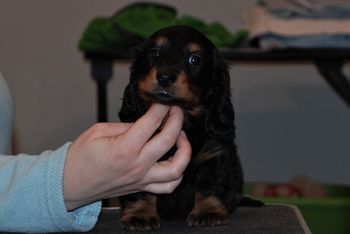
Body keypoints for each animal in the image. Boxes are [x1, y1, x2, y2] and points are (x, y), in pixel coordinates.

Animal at [117, 25, 243, 230]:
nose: (165, 78)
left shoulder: (215, 155)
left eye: (195, 59)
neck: (185, 123)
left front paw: (208, 211)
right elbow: (141, 189)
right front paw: (140, 213)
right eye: (155, 52)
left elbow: (210, 184)